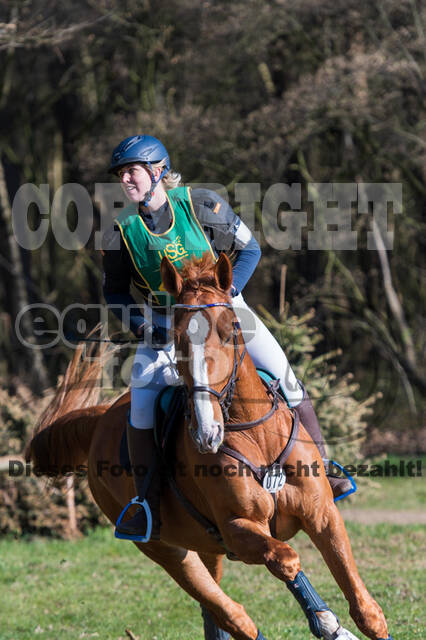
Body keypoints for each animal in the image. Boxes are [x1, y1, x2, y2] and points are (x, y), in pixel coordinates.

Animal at [25, 254, 392, 640]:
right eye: (176, 339)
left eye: (231, 329)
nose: (206, 432)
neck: (256, 436)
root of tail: (99, 420)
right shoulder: (237, 529)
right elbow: (286, 559)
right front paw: (328, 623)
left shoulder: (322, 515)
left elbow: (364, 607)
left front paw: (348, 624)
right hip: (168, 551)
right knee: (229, 613)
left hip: (206, 547)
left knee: (213, 614)